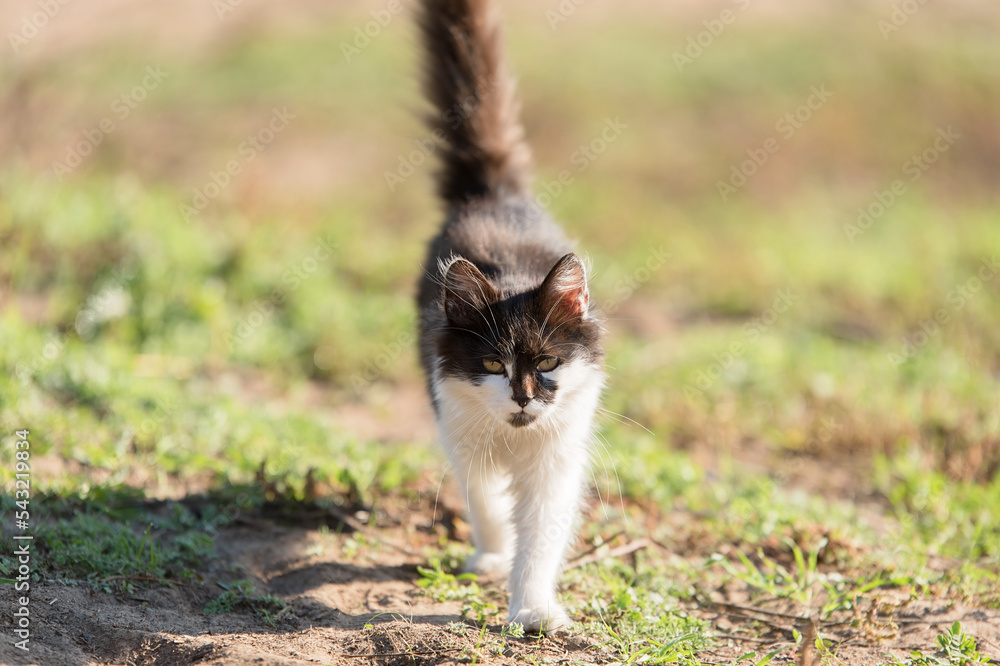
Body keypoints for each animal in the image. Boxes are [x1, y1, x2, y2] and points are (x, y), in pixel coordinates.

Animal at [412, 0, 604, 632]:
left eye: (545, 363)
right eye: (494, 365)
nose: (522, 397)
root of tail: (494, 195)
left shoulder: (558, 459)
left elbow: (542, 537)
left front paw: (533, 609)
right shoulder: (457, 423)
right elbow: (486, 501)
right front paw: (493, 558)